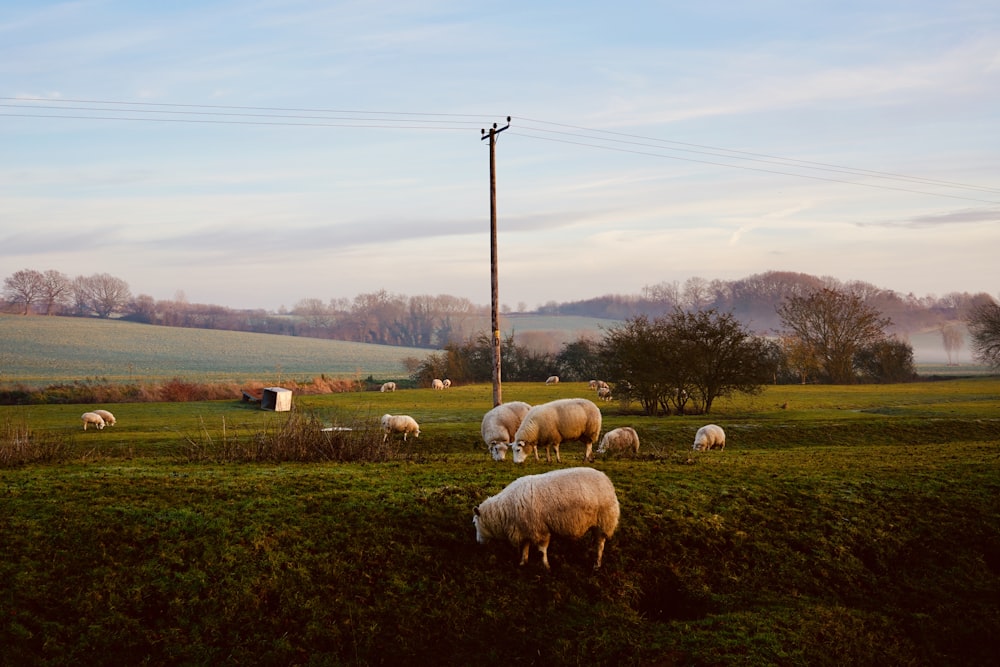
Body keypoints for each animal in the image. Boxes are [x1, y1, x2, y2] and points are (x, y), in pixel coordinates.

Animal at [470, 468, 616, 572]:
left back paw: (596, 564)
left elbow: (541, 550)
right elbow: (525, 546)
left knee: (600, 544)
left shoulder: (540, 530)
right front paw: (523, 562)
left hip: (604, 521)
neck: (505, 510)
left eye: (475, 523)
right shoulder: (526, 528)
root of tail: (606, 479)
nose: (477, 542)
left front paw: (546, 567)